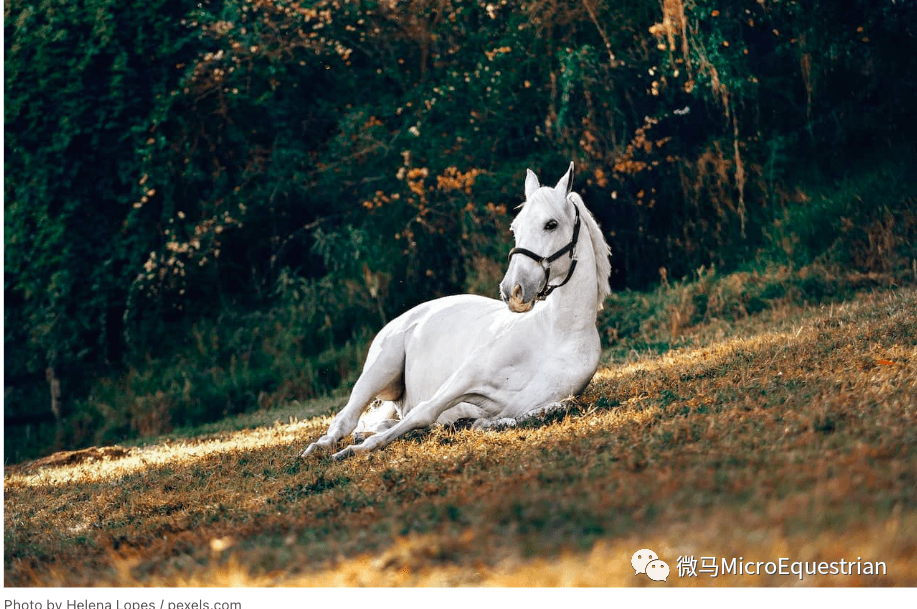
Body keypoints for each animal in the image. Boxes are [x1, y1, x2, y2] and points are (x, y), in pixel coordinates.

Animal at [301, 162, 612, 460]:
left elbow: (538, 413)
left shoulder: (535, 404)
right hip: (377, 372)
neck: (557, 335)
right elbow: (424, 411)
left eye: (551, 224)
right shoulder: (465, 377)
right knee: (346, 419)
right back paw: (321, 447)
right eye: (515, 228)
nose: (512, 290)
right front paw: (358, 451)